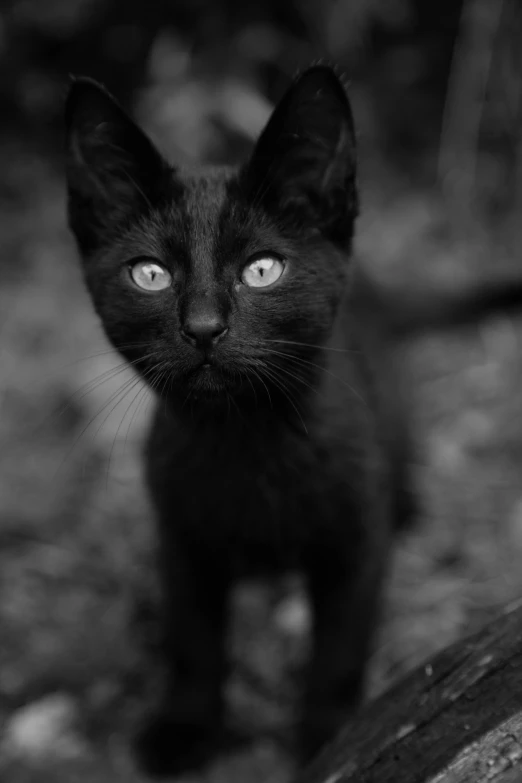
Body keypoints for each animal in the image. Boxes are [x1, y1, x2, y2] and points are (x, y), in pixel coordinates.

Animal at [66, 64, 522, 776]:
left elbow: (338, 650)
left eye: (262, 269)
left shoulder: (355, 545)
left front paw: (330, 738)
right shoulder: (180, 539)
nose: (203, 327)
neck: (247, 442)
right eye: (150, 275)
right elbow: (192, 642)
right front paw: (185, 727)